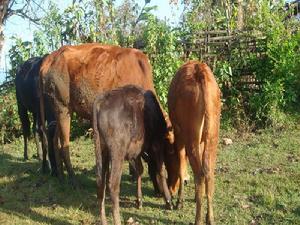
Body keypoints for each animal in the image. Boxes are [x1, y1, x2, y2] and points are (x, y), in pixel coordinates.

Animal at [92, 85, 172, 225]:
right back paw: (117, 220)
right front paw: (168, 200)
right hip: (116, 153)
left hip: (102, 151)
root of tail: (102, 99)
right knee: (113, 185)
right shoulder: (156, 144)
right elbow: (160, 170)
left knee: (100, 184)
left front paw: (139, 200)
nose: (157, 192)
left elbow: (139, 169)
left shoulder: (137, 151)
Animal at [168, 60, 221, 225]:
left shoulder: (179, 135)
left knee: (200, 173)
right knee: (208, 172)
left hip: (191, 139)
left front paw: (180, 201)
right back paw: (210, 217)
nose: (171, 189)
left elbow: (181, 166)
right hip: (212, 137)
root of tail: (200, 70)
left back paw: (198, 219)